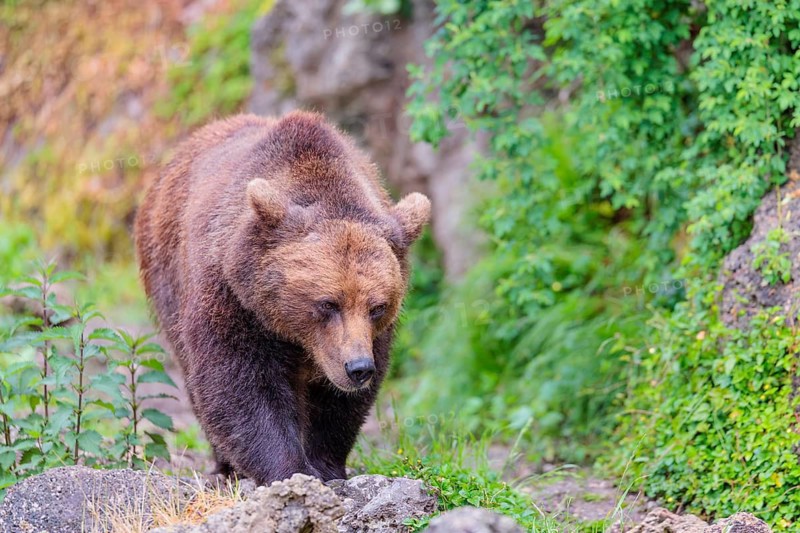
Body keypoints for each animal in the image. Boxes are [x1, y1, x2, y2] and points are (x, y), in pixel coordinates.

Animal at [134, 111, 430, 484]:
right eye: (327, 303)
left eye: (377, 307)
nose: (358, 368)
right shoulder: (232, 297)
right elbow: (239, 382)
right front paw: (288, 469)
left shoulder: (368, 338)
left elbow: (336, 403)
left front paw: (325, 465)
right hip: (167, 277)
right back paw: (225, 465)